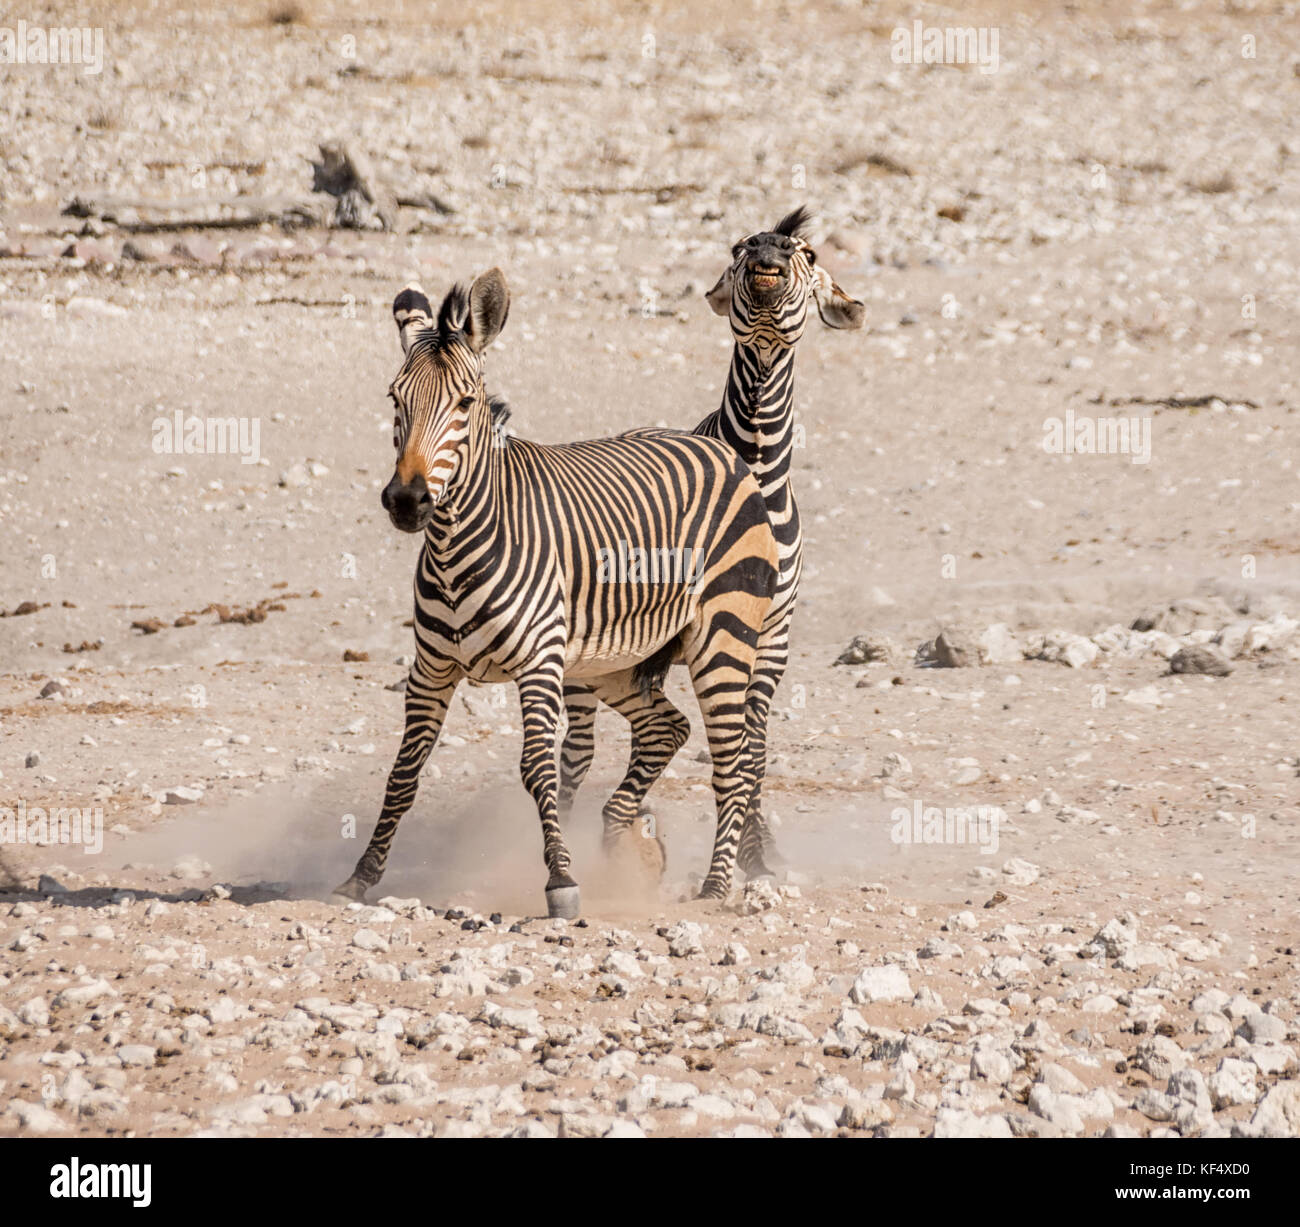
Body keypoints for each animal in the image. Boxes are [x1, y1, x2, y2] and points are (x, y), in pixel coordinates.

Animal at [335, 270, 780, 920]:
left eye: (465, 404)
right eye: (395, 399)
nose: (407, 502)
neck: (454, 550)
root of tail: (721, 448)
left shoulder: (539, 663)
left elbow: (539, 771)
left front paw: (562, 880)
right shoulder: (430, 670)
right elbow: (404, 771)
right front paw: (361, 875)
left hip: (725, 637)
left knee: (732, 764)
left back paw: (716, 886)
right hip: (609, 660)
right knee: (666, 728)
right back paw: (625, 850)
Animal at [559, 207, 863, 883]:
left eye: (806, 253)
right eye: (739, 246)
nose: (769, 252)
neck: (756, 469)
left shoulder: (769, 638)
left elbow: (751, 750)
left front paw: (757, 855)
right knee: (577, 749)